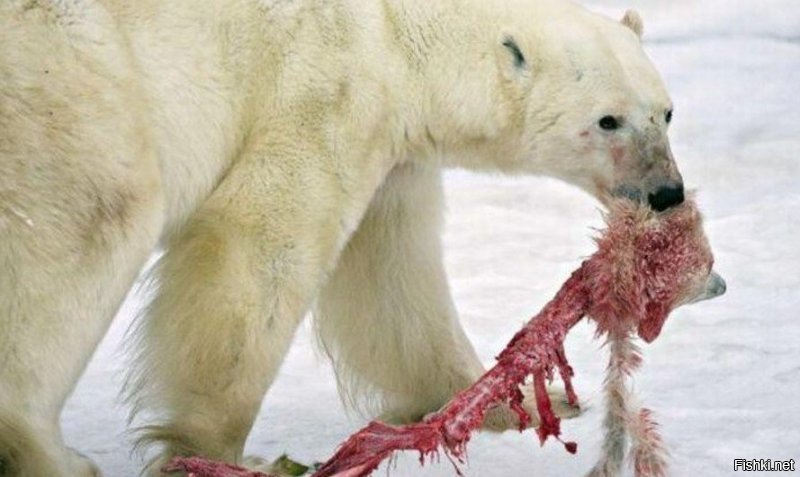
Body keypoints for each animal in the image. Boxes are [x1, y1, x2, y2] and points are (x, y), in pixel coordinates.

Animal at [3, 0, 684, 474]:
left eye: (667, 112)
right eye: (607, 120)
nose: (668, 192)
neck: (397, 28)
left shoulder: (390, 144)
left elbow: (393, 276)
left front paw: (494, 403)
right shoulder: (325, 84)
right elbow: (263, 242)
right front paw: (222, 451)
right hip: (74, 80)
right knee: (92, 220)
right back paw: (47, 453)